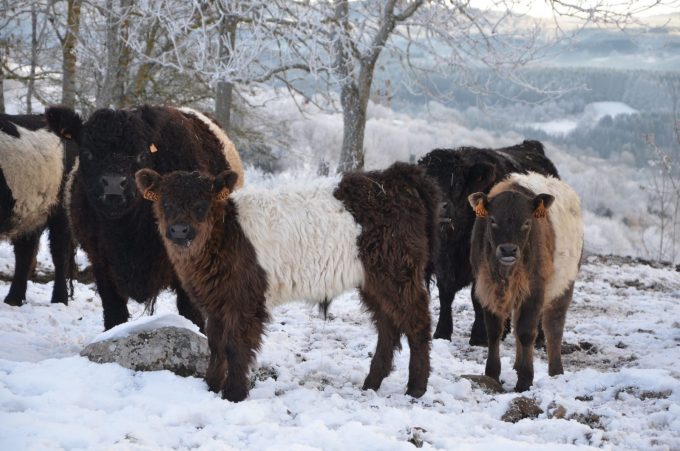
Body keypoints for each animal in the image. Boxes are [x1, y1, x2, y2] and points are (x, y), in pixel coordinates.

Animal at [135, 164, 438, 404]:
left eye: (202, 205)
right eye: (165, 204)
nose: (179, 230)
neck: (224, 236)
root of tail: (395, 176)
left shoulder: (244, 300)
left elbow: (235, 346)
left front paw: (233, 394)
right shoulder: (216, 302)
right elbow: (216, 344)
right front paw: (210, 387)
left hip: (397, 273)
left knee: (417, 322)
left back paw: (416, 387)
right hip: (373, 281)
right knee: (388, 325)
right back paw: (372, 382)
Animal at [468, 173, 584, 392]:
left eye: (526, 222)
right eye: (492, 220)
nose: (508, 250)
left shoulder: (535, 289)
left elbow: (527, 332)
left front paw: (525, 380)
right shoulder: (486, 287)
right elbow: (494, 331)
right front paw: (492, 374)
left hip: (564, 284)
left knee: (553, 327)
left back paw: (556, 371)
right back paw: (515, 366)